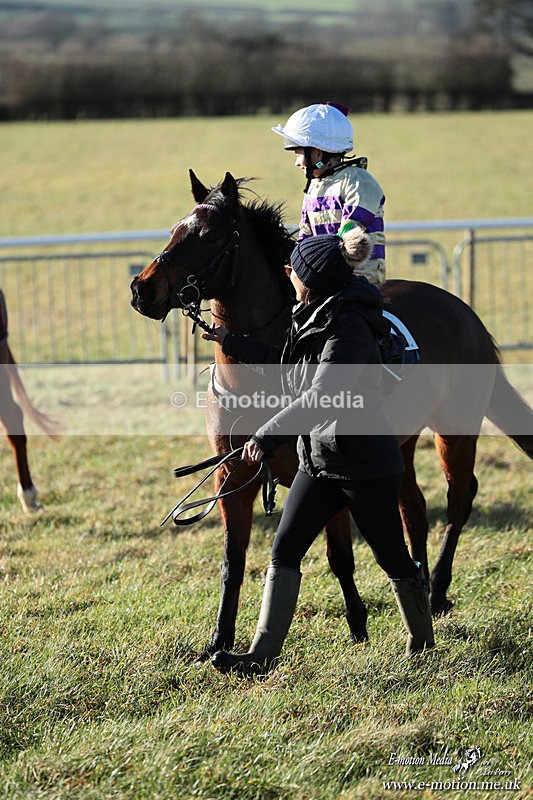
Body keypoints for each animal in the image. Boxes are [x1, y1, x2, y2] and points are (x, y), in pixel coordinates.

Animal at [131, 170, 533, 659]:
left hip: (454, 430)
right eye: (175, 228)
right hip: (401, 445)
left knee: (459, 499)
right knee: (414, 509)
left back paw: (436, 591)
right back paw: (420, 584)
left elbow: (339, 556)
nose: (142, 289)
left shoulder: (326, 475)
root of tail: (466, 314)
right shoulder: (232, 478)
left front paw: (358, 626)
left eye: (208, 235)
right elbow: (233, 561)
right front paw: (219, 641)